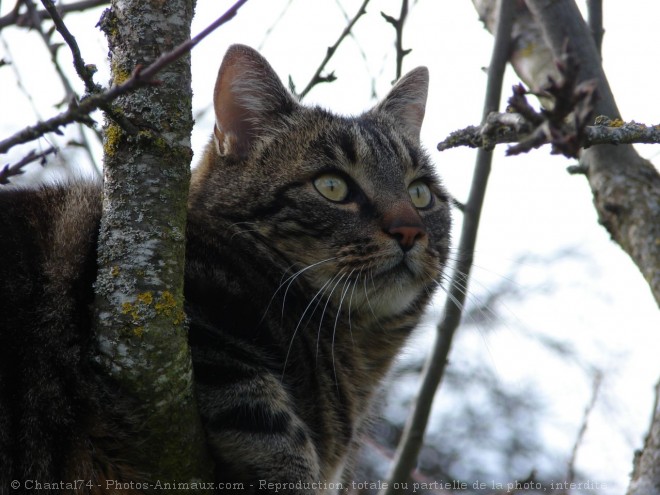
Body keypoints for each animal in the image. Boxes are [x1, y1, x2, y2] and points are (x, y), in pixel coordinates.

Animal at [0, 44, 448, 494]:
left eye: (420, 193)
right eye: (332, 186)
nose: (410, 230)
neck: (352, 352)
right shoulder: (161, 322)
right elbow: (268, 421)